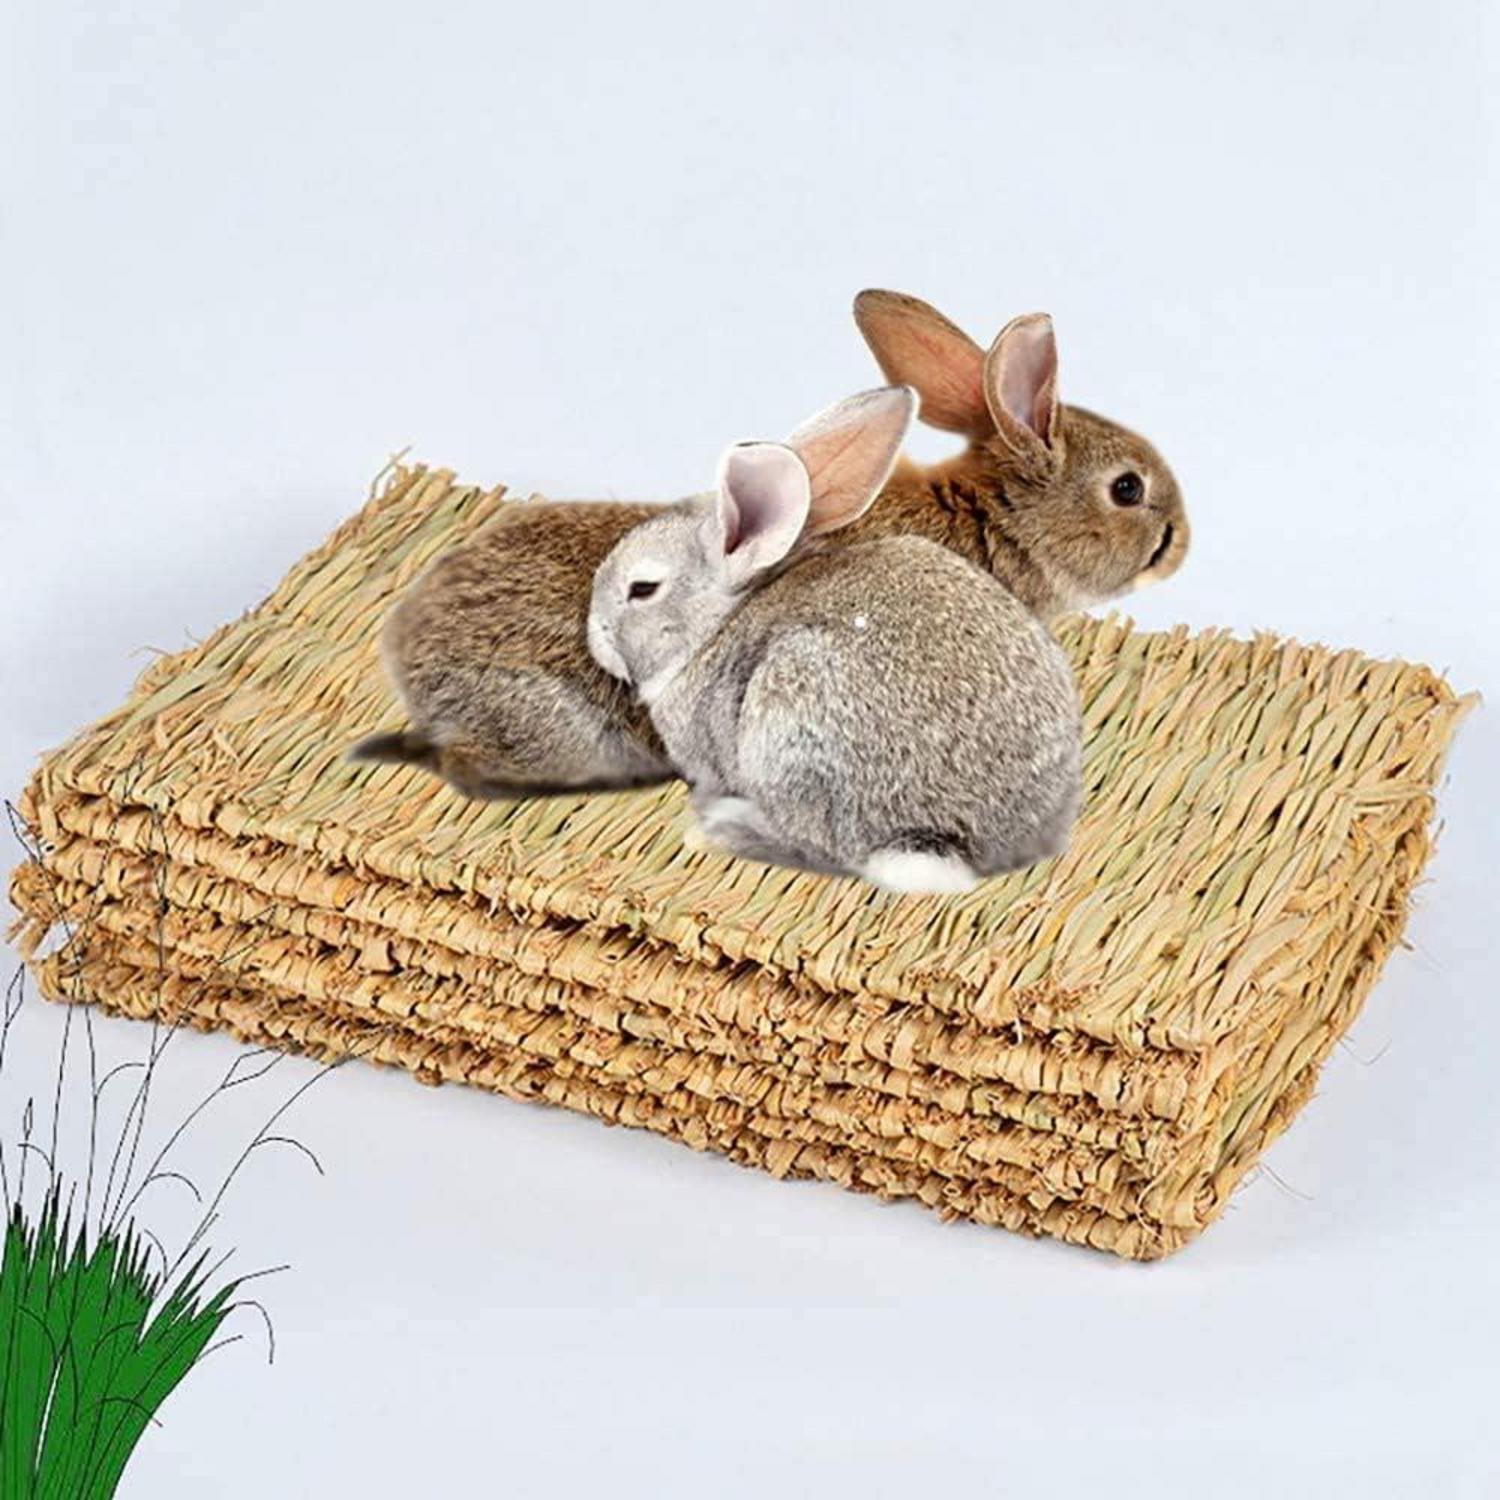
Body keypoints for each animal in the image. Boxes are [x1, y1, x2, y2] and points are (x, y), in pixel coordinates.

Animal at [587, 415, 1083, 895]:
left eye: (643, 589)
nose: (595, 633)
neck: (715, 625)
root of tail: (960, 840)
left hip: (789, 721)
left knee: (822, 847)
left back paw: (722, 828)